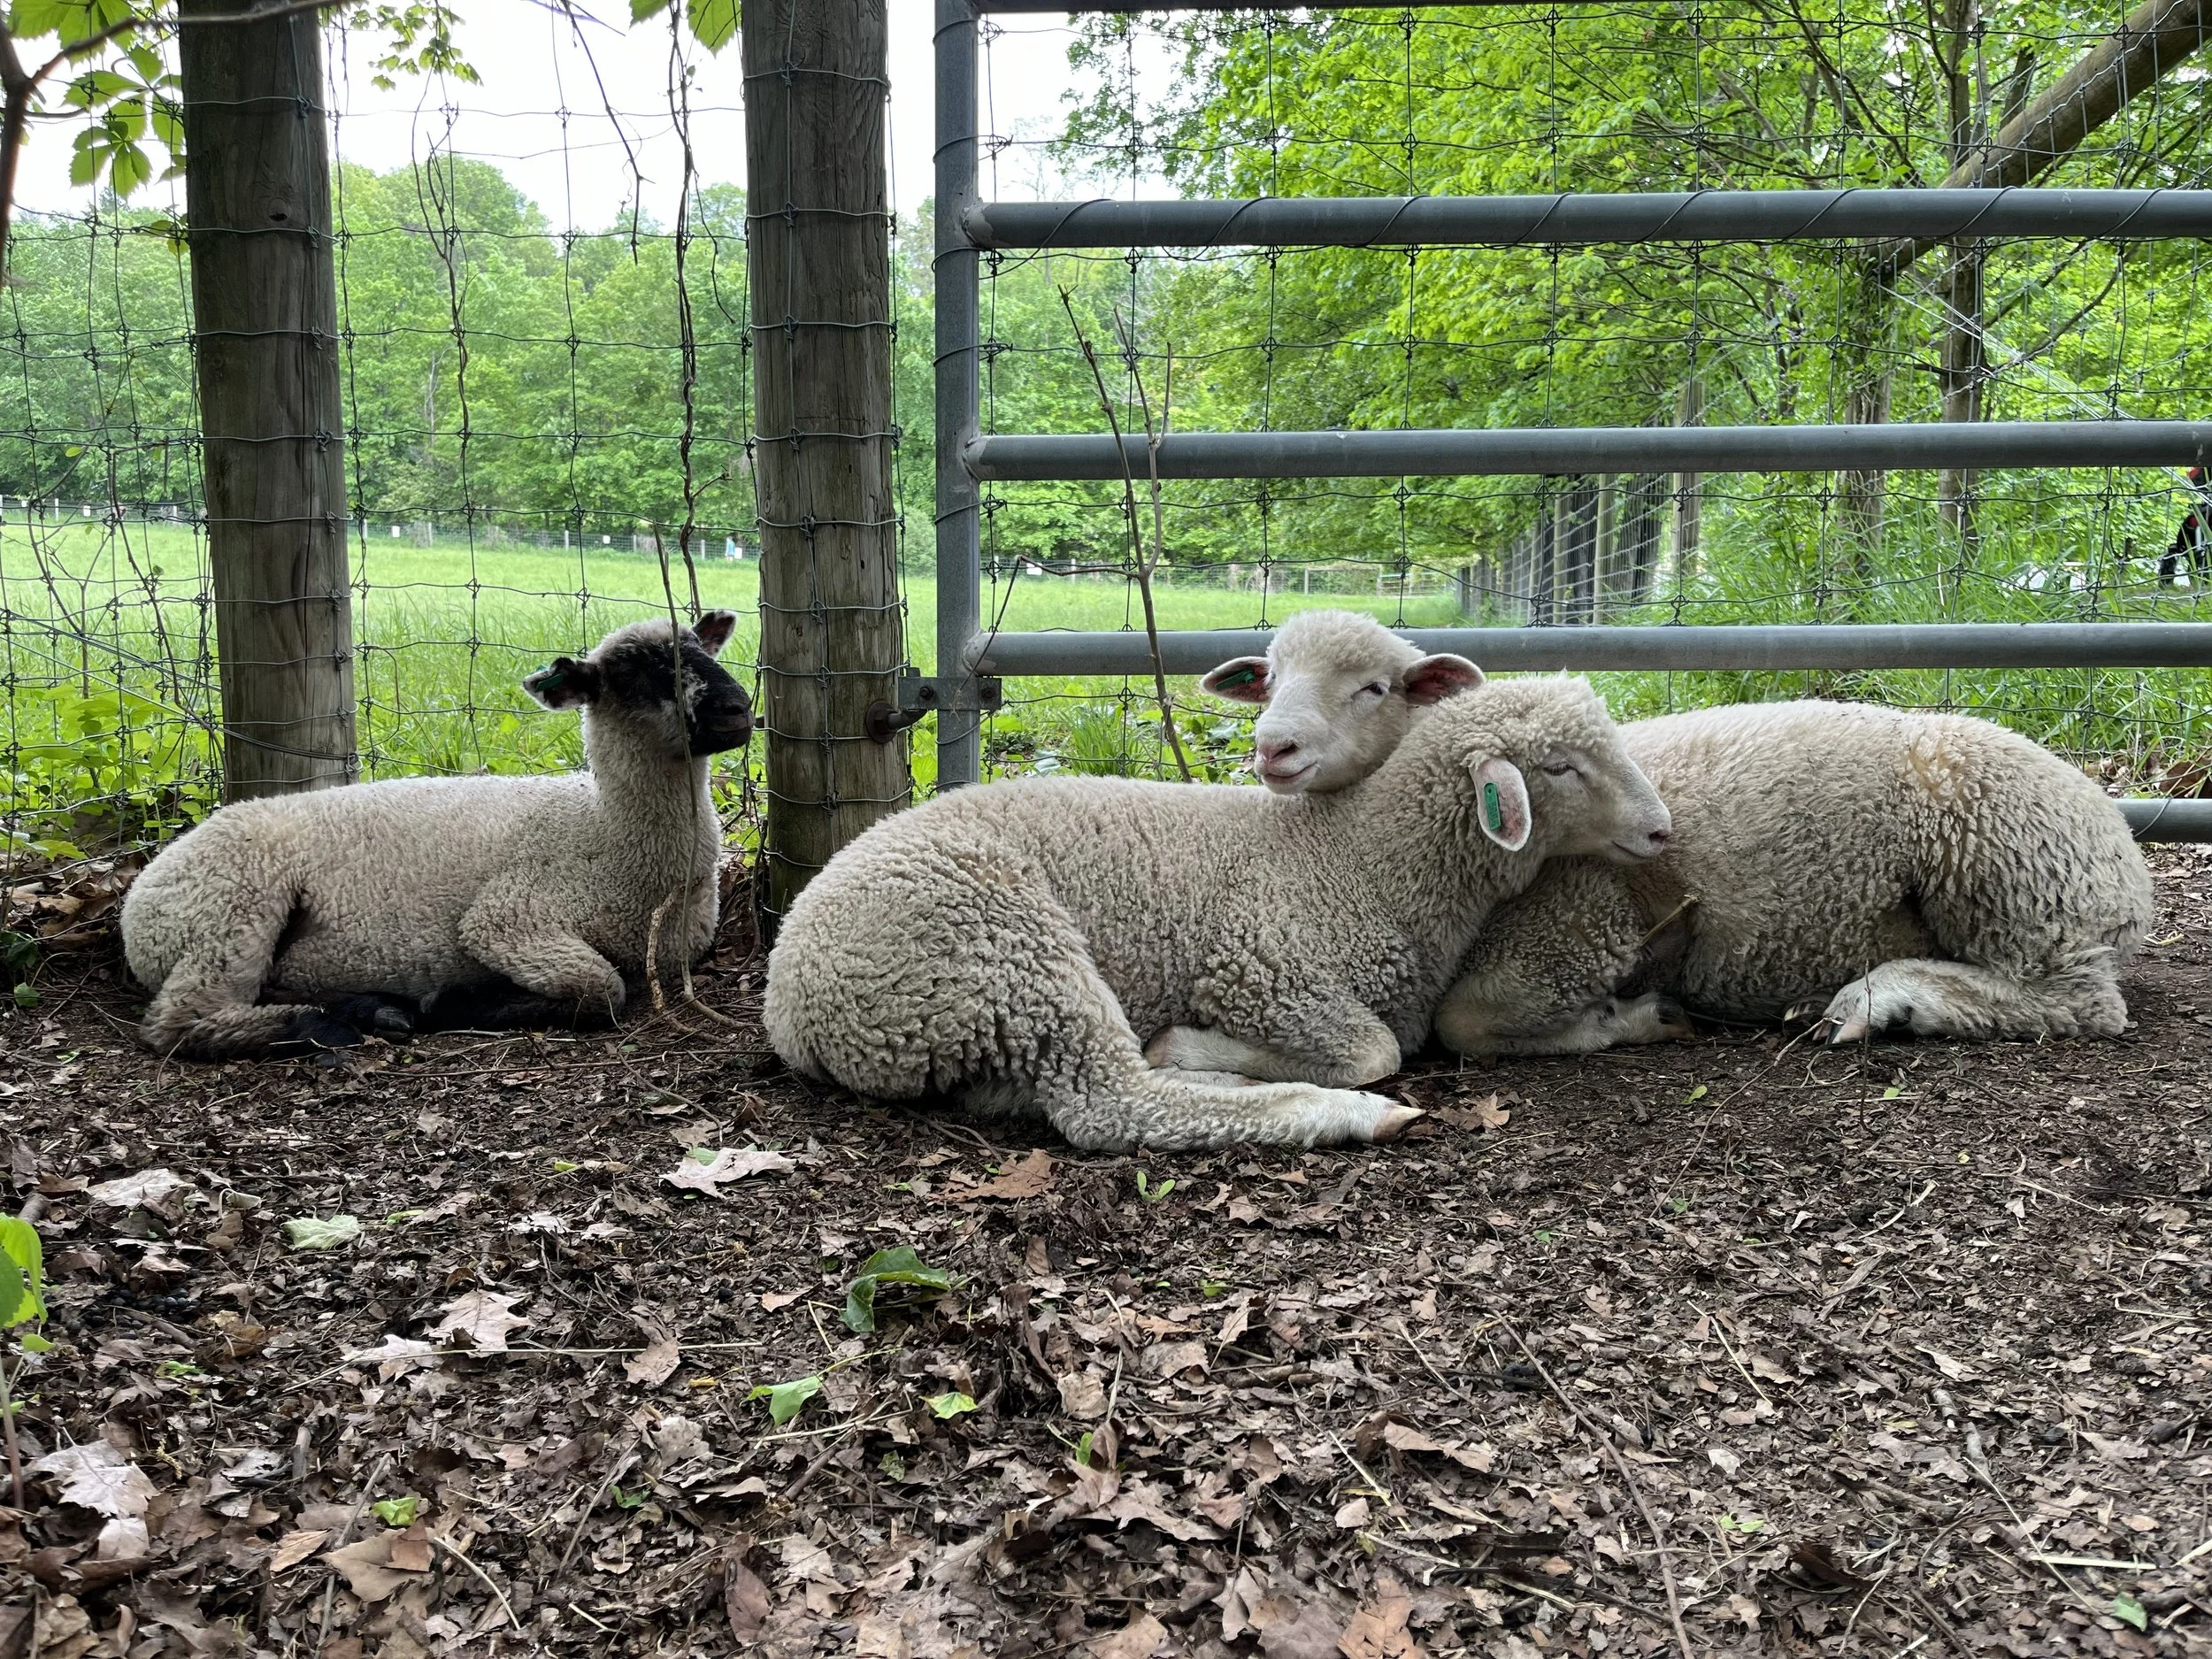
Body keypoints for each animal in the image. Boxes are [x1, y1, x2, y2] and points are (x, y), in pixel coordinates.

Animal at [121, 611, 753, 1059]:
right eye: (631, 675)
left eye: (702, 650)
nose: (736, 709)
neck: (605, 831)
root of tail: (140, 898)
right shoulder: (508, 917)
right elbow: (600, 987)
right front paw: (456, 1003)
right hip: (232, 910)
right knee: (180, 1023)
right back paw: (327, 1023)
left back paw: (369, 1010)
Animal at [762, 676, 1672, 1152]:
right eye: (1559, 766)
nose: (1662, 828)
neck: (1364, 859)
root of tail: (791, 1001)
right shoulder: (1264, 966)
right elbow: (1374, 1051)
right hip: (1004, 947)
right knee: (1113, 1104)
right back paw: (1323, 1108)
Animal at [1207, 613, 2155, 1050]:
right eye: (1270, 677)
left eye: (1373, 687)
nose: (1272, 747)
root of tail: (2124, 855)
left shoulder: (1575, 920)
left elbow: (1468, 1021)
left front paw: (1624, 1015)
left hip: (2013, 873)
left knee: (2077, 1002)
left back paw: (1882, 998)